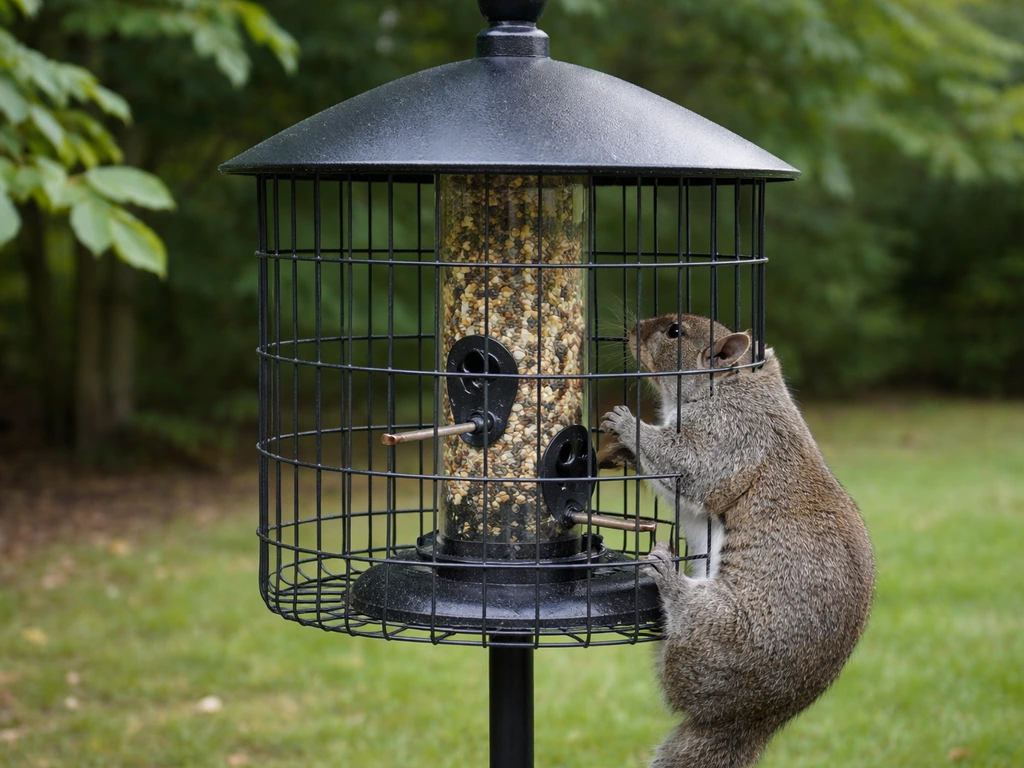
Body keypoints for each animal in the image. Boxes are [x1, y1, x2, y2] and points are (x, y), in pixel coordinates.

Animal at [600, 313, 874, 768]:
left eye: (675, 332)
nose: (631, 329)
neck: (731, 384)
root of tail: (749, 718)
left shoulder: (733, 436)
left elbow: (690, 469)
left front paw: (627, 425)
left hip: (718, 627)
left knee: (682, 649)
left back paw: (668, 575)